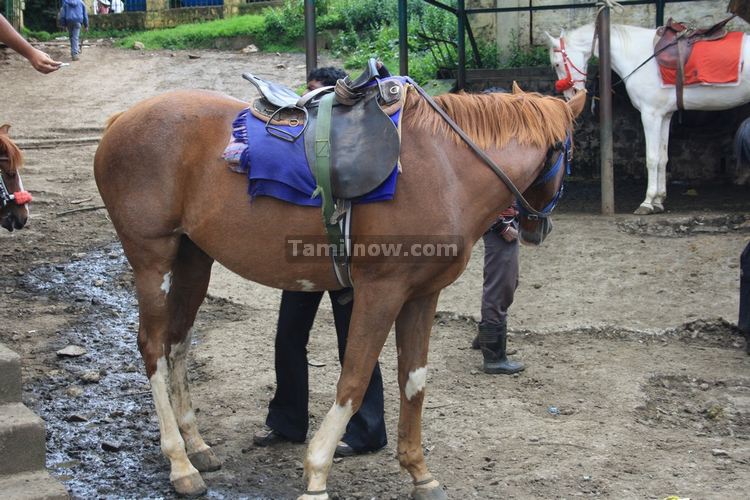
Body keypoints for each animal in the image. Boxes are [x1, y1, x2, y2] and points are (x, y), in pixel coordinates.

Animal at [95, 84, 588, 498]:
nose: (536, 228)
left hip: (194, 258)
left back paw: (196, 444)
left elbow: (414, 381)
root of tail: (120, 119)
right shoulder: (382, 291)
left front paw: (419, 473)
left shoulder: (422, 295)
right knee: (153, 346)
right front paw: (317, 473)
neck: (446, 167)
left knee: (177, 343)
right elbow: (354, 378)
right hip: (152, 259)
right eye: (573, 154)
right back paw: (179, 463)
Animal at [548, 22, 750, 214]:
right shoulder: (664, 115)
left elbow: (652, 158)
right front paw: (659, 201)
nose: (569, 95)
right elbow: (663, 158)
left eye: (557, 64)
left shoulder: (650, 114)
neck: (639, 55)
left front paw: (647, 202)